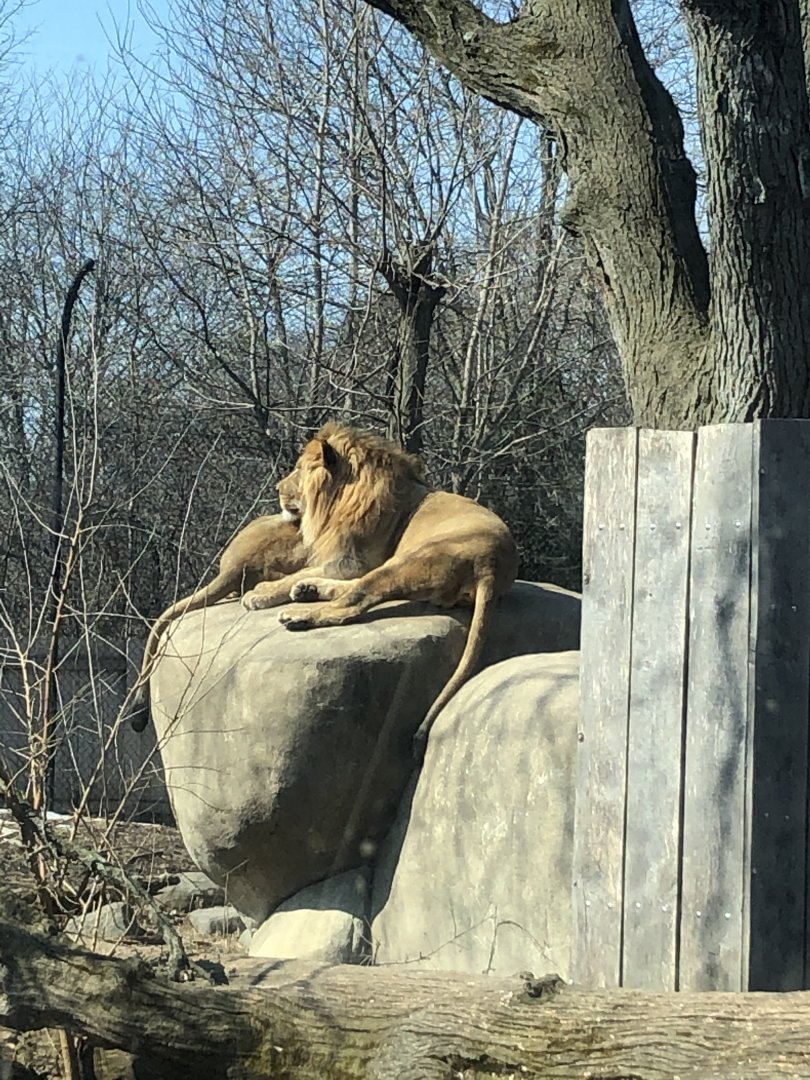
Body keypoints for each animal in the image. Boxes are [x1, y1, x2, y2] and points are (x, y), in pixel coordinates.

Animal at [242, 422, 519, 754]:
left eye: (298, 468)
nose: (277, 487)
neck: (344, 497)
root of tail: (491, 564)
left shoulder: (353, 561)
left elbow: (305, 575)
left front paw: (260, 592)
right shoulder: (350, 561)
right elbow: (307, 572)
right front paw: (285, 585)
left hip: (407, 560)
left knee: (352, 603)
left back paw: (299, 614)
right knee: (351, 592)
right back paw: (307, 590)